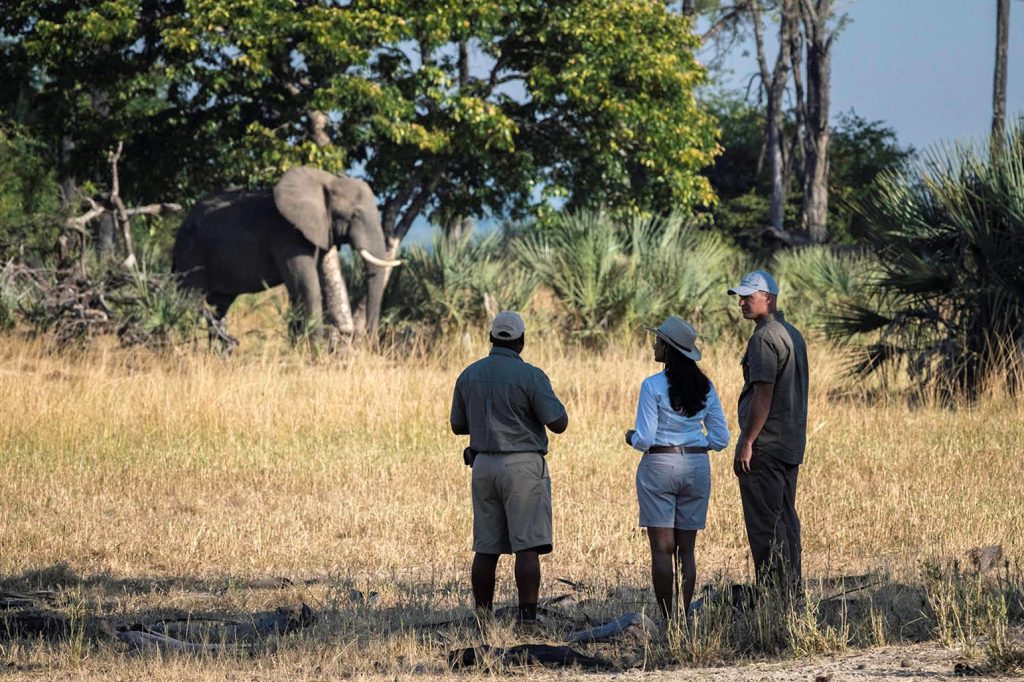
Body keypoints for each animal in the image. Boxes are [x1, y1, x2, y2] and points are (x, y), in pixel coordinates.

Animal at [172, 166, 400, 343]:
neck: (326, 182)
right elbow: (307, 288)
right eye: (353, 215)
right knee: (189, 301)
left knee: (218, 306)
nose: (366, 340)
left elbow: (302, 289)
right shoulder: (287, 234)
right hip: (190, 252)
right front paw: (315, 354)